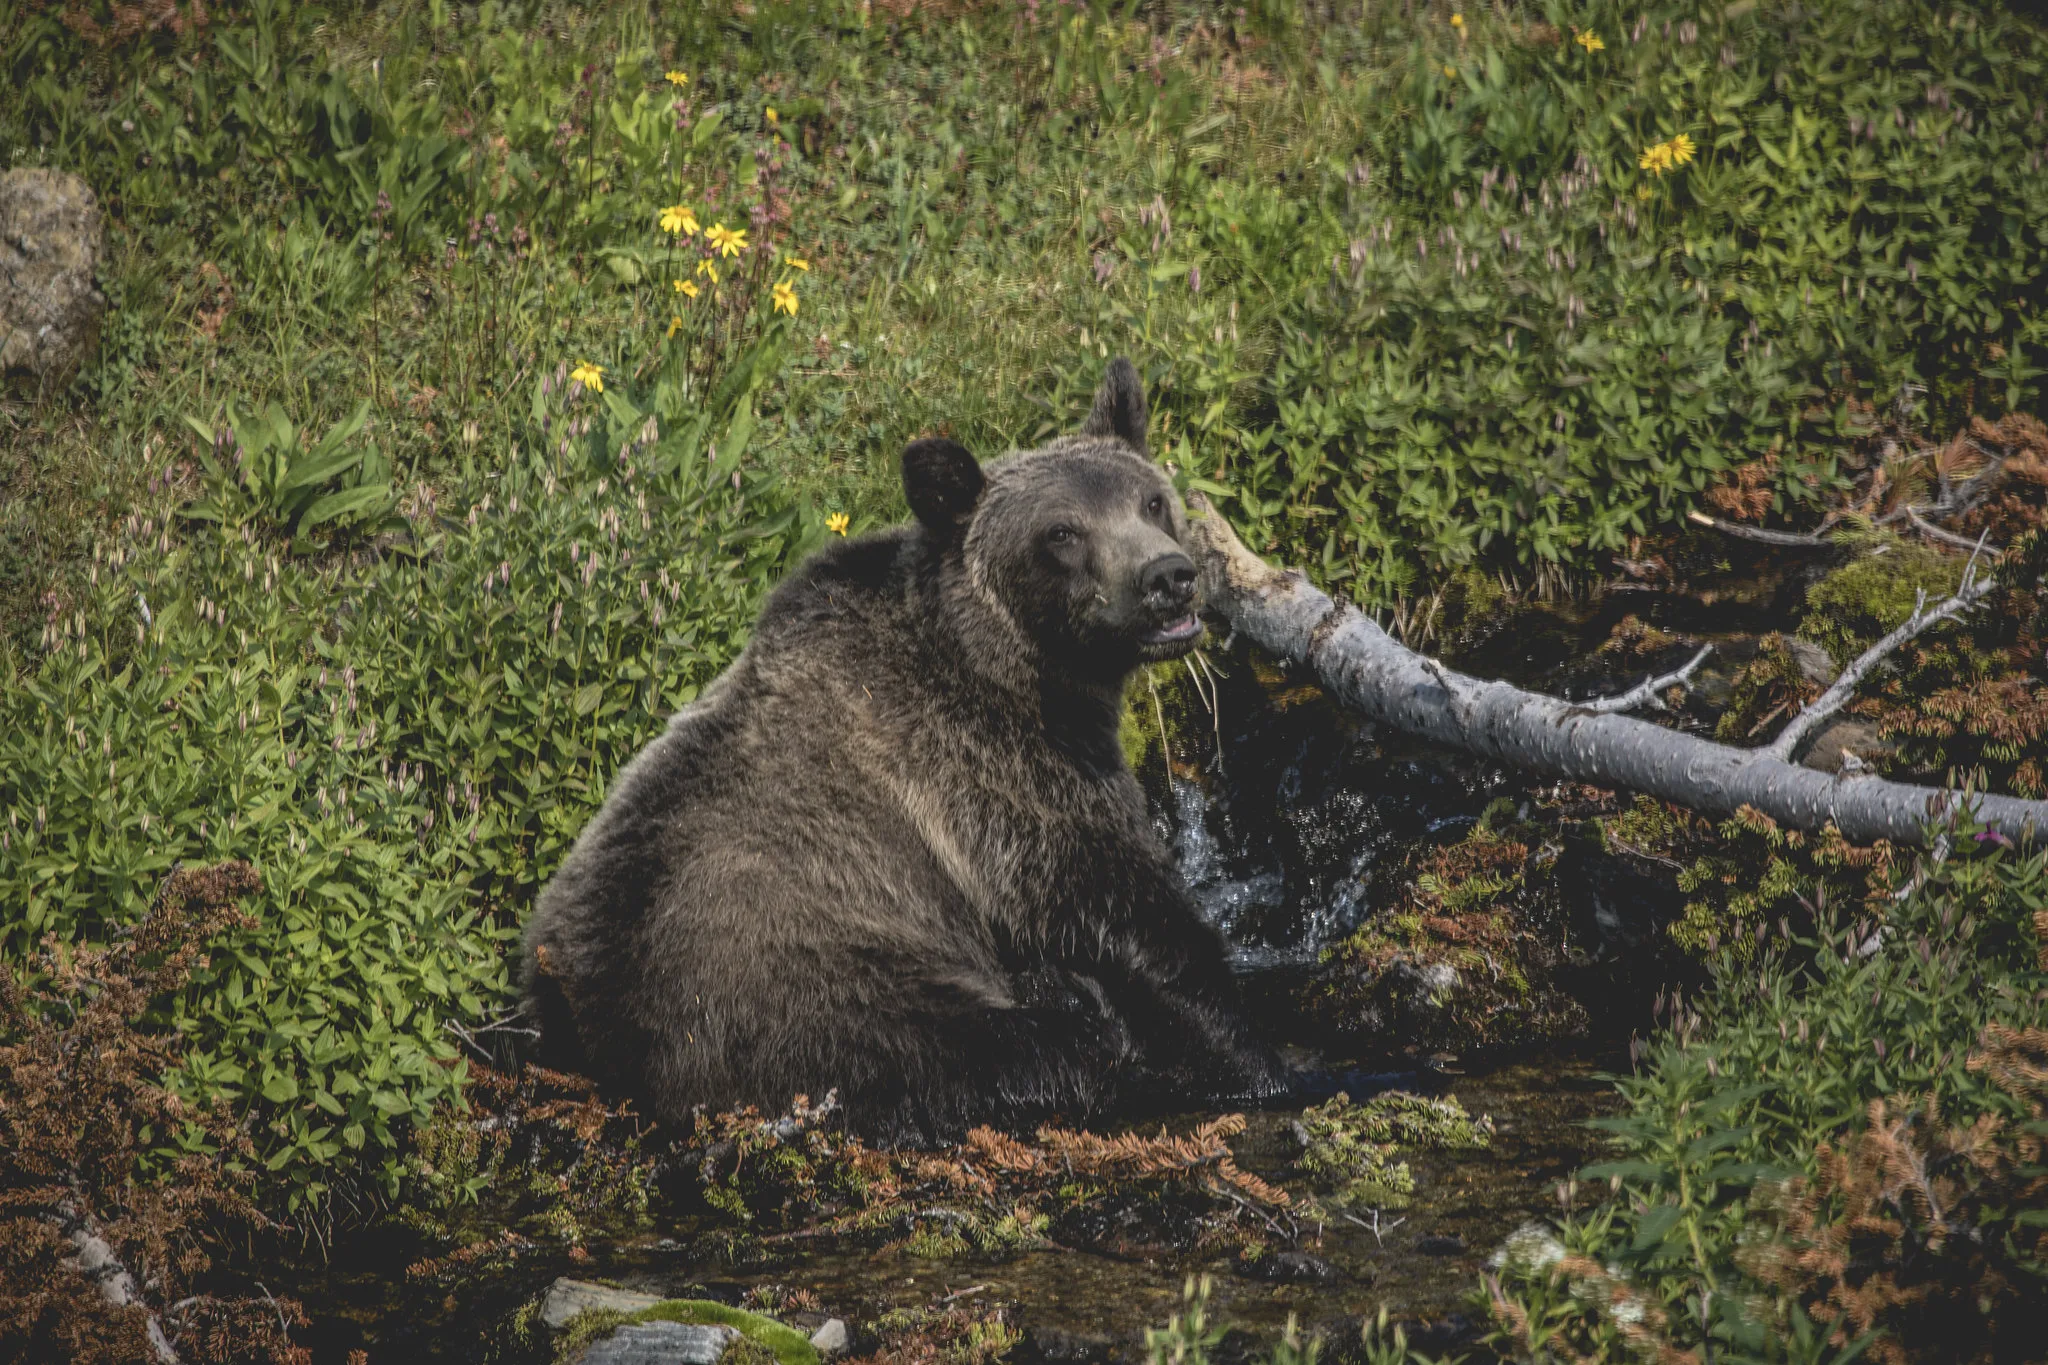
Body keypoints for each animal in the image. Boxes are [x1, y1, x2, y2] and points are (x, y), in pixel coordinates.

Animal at [522, 358, 1288, 1141]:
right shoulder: (994, 777)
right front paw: (1254, 1056)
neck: (1023, 673)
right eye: (1063, 532)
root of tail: (594, 1031)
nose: (1168, 578)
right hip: (819, 985)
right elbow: (1123, 902)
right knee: (1011, 1049)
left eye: (1152, 500)